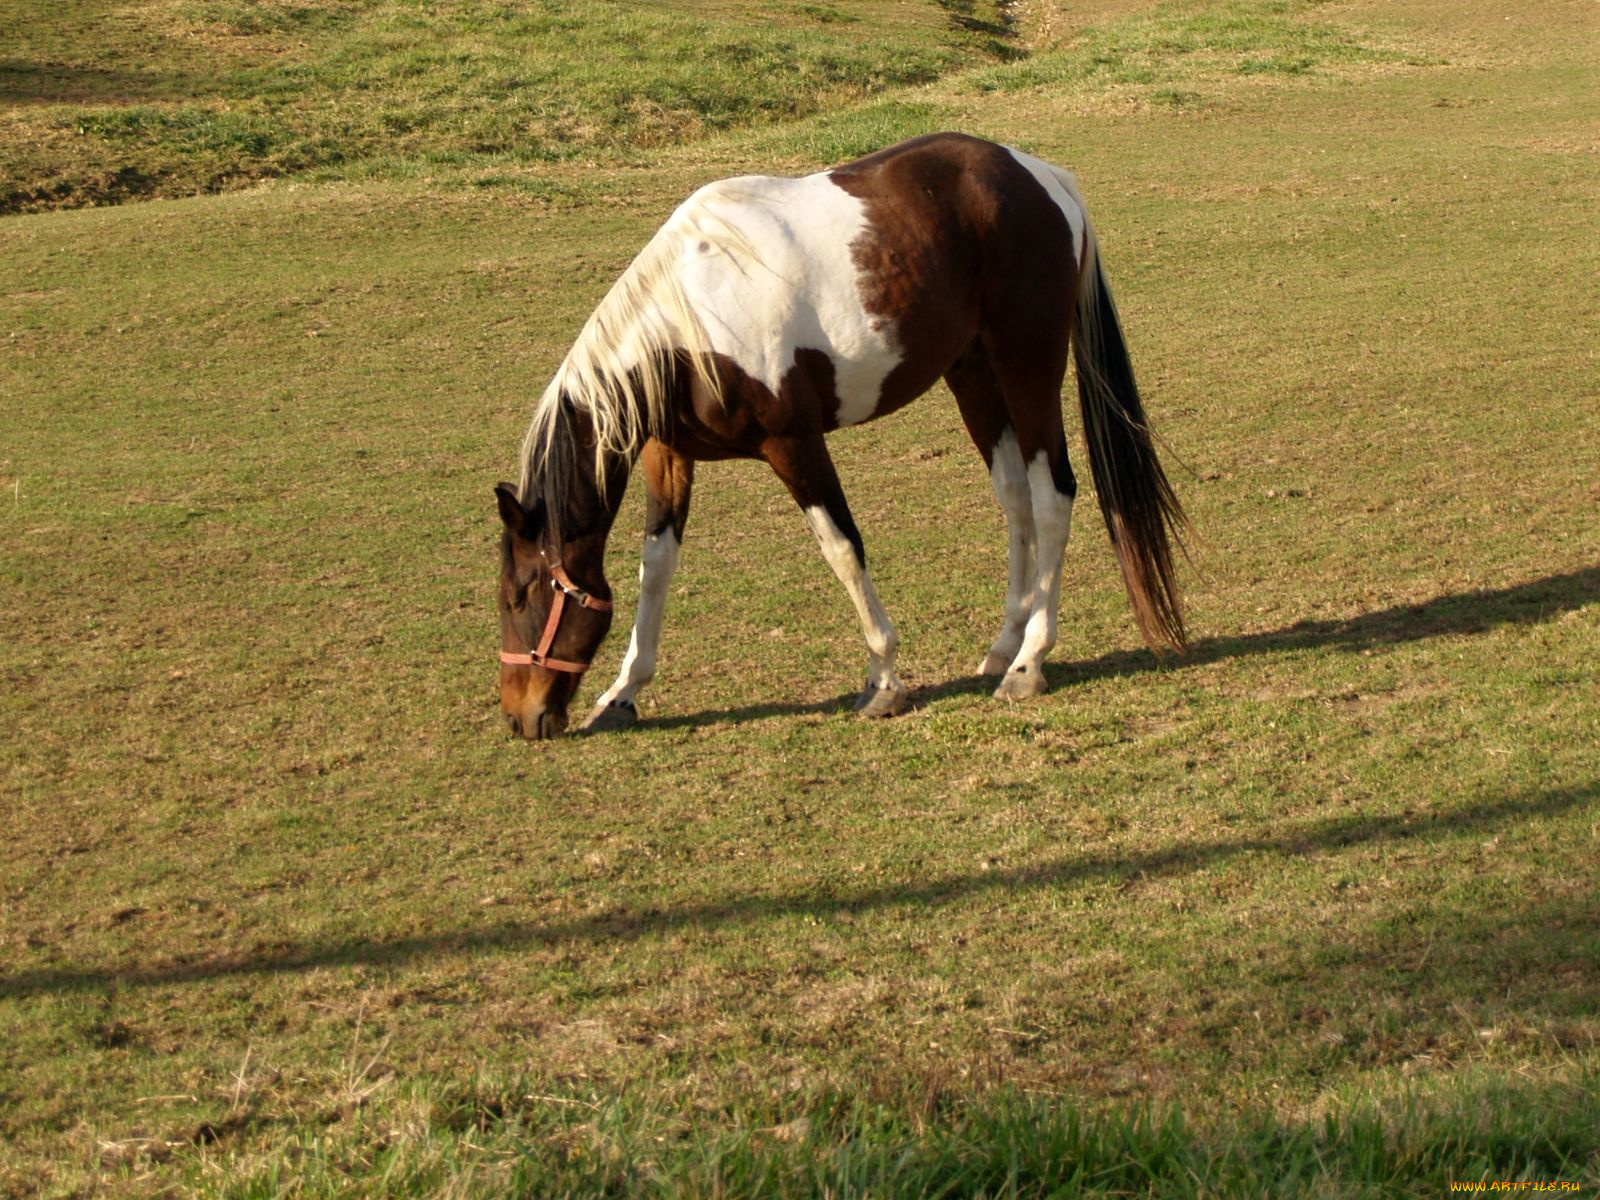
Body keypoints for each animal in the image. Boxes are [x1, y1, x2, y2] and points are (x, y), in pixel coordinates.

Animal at [499, 127, 1190, 739]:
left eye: (520, 596)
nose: (519, 717)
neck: (690, 325)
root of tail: (1043, 177)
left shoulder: (794, 444)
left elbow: (842, 548)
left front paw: (883, 678)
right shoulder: (668, 456)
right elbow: (656, 567)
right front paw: (623, 692)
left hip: (1028, 367)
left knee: (1052, 497)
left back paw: (1028, 663)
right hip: (973, 376)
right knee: (1016, 499)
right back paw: (1002, 647)